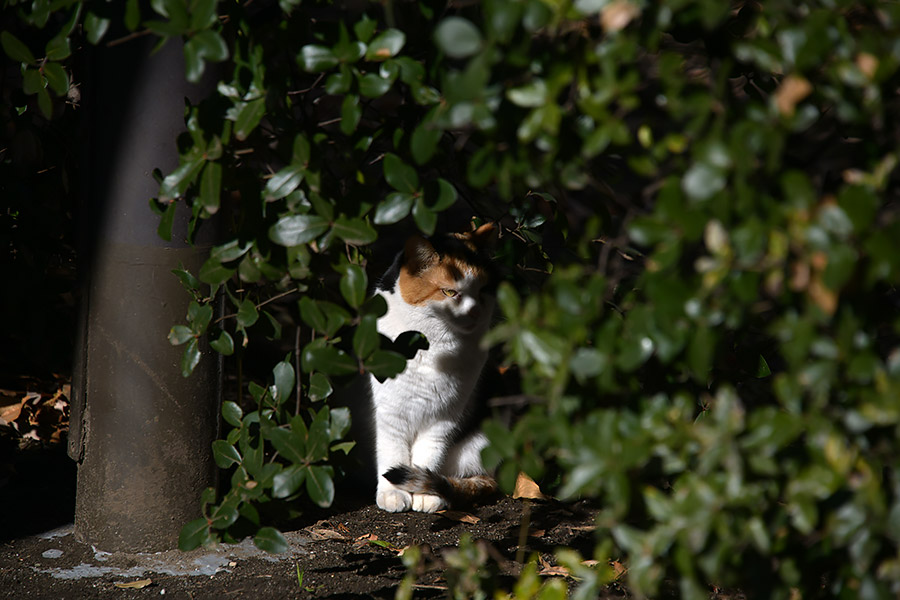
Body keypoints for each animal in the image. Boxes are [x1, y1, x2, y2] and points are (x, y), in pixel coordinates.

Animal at [366, 223, 500, 512]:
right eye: (450, 292)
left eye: (483, 290)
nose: (475, 312)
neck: (431, 348)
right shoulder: (391, 412)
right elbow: (391, 450)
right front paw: (393, 493)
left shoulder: (444, 418)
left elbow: (429, 454)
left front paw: (425, 493)